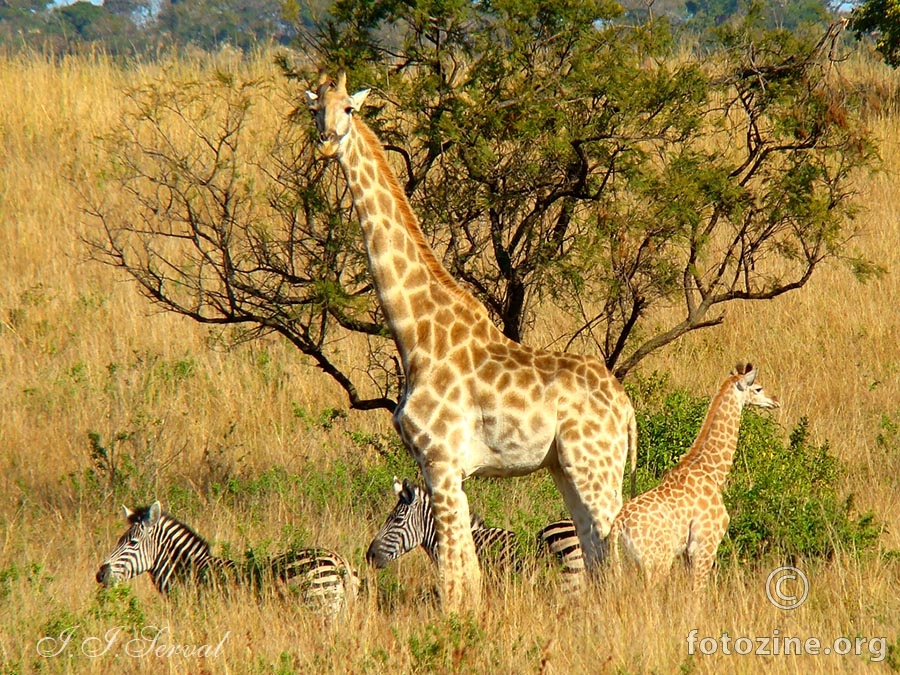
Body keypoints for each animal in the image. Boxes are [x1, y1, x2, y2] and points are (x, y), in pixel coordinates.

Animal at [97, 500, 358, 616]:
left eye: (132, 543)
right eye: (119, 541)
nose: (100, 574)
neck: (191, 572)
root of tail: (337, 560)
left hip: (321, 608)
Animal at [616, 364, 776, 588]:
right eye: (758, 388)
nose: (774, 401)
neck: (712, 472)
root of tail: (618, 526)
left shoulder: (687, 553)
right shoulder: (704, 545)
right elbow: (698, 590)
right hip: (657, 561)